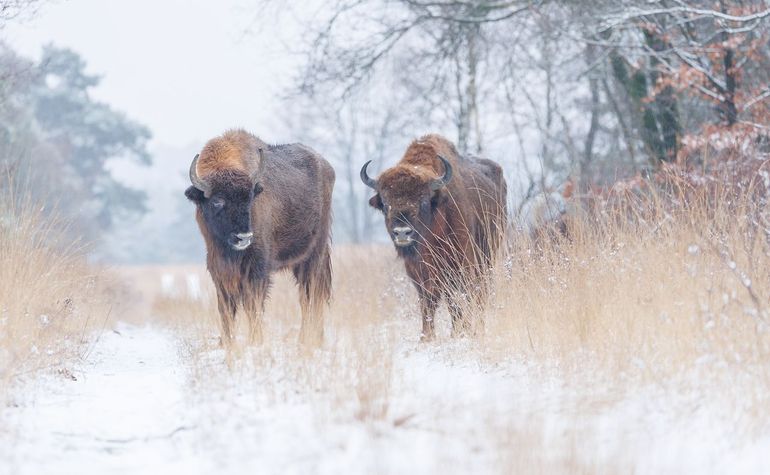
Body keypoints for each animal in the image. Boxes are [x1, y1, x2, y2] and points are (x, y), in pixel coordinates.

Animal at [358, 135, 504, 342]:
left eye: (423, 201)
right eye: (385, 204)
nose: (402, 232)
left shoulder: (460, 263)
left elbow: (456, 299)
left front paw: (459, 333)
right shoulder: (417, 271)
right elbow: (427, 301)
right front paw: (426, 337)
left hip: (487, 256)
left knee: (479, 292)